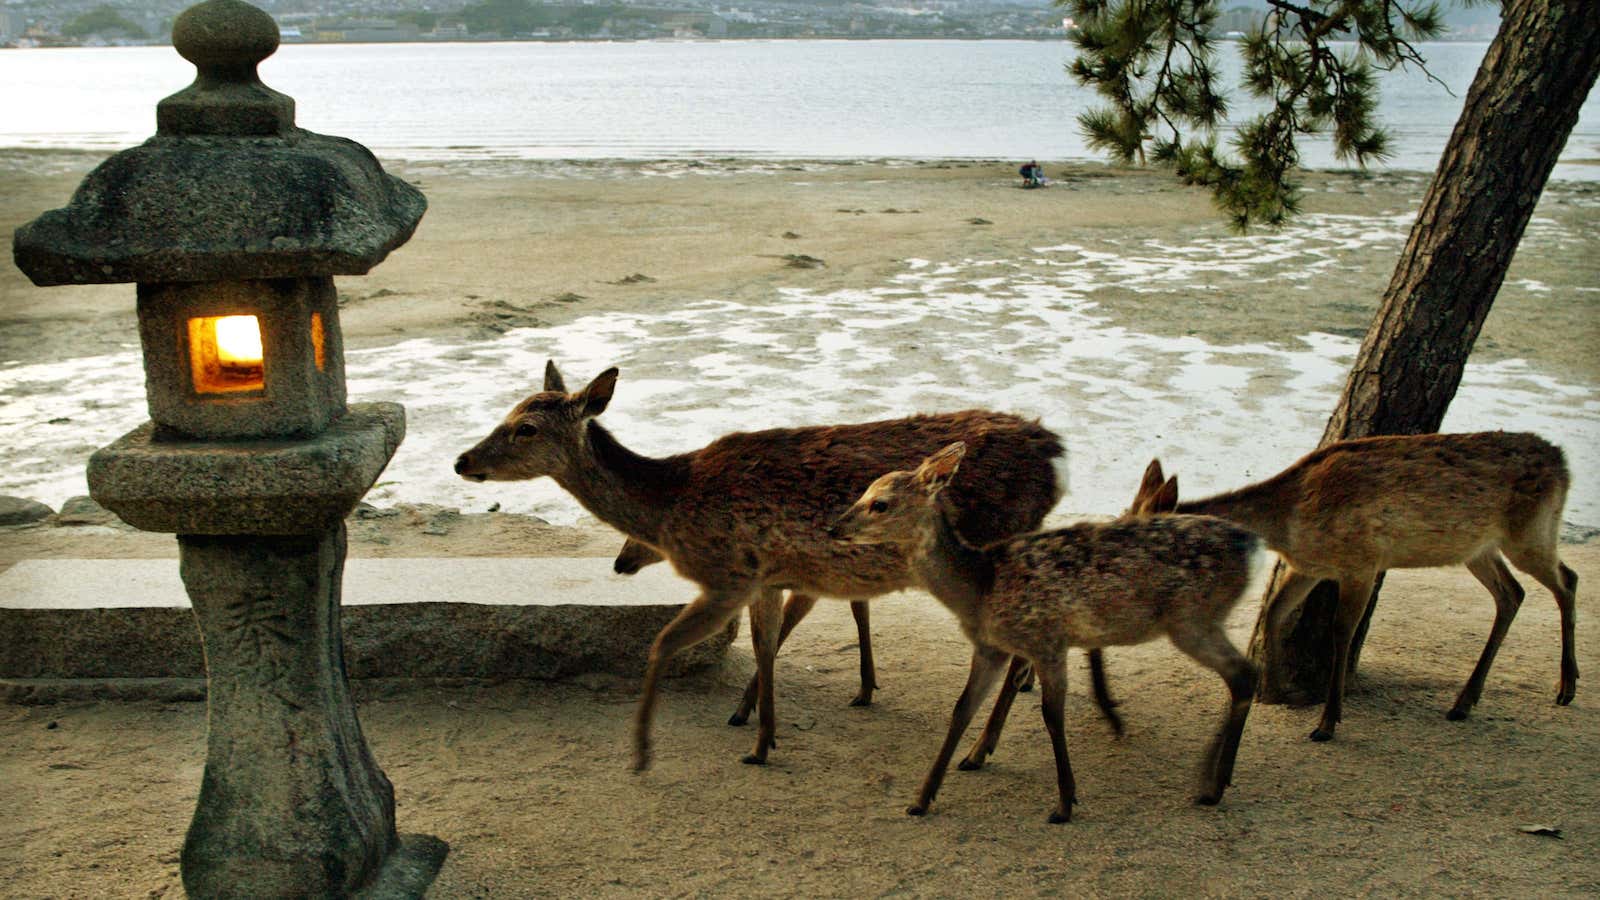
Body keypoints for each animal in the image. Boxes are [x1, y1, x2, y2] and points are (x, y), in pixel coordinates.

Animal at [832, 441, 1267, 819]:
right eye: (865, 490)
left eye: (880, 503)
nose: (836, 527)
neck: (980, 588)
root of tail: (1253, 546)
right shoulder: (991, 648)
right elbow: (961, 710)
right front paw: (921, 799)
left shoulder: (1047, 641)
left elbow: (1051, 716)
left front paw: (1064, 803)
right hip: (1197, 621)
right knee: (1244, 676)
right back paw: (1215, 778)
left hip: (1192, 619)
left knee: (1245, 673)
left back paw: (1211, 784)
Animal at [1145, 432, 1580, 739]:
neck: (1287, 521)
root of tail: (1564, 463)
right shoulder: (1310, 566)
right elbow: (1274, 611)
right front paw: (1280, 690)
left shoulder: (1362, 562)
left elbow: (1341, 630)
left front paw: (1327, 722)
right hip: (1478, 548)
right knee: (1513, 593)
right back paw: (1464, 702)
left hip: (1530, 533)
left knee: (1567, 581)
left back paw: (1566, 687)